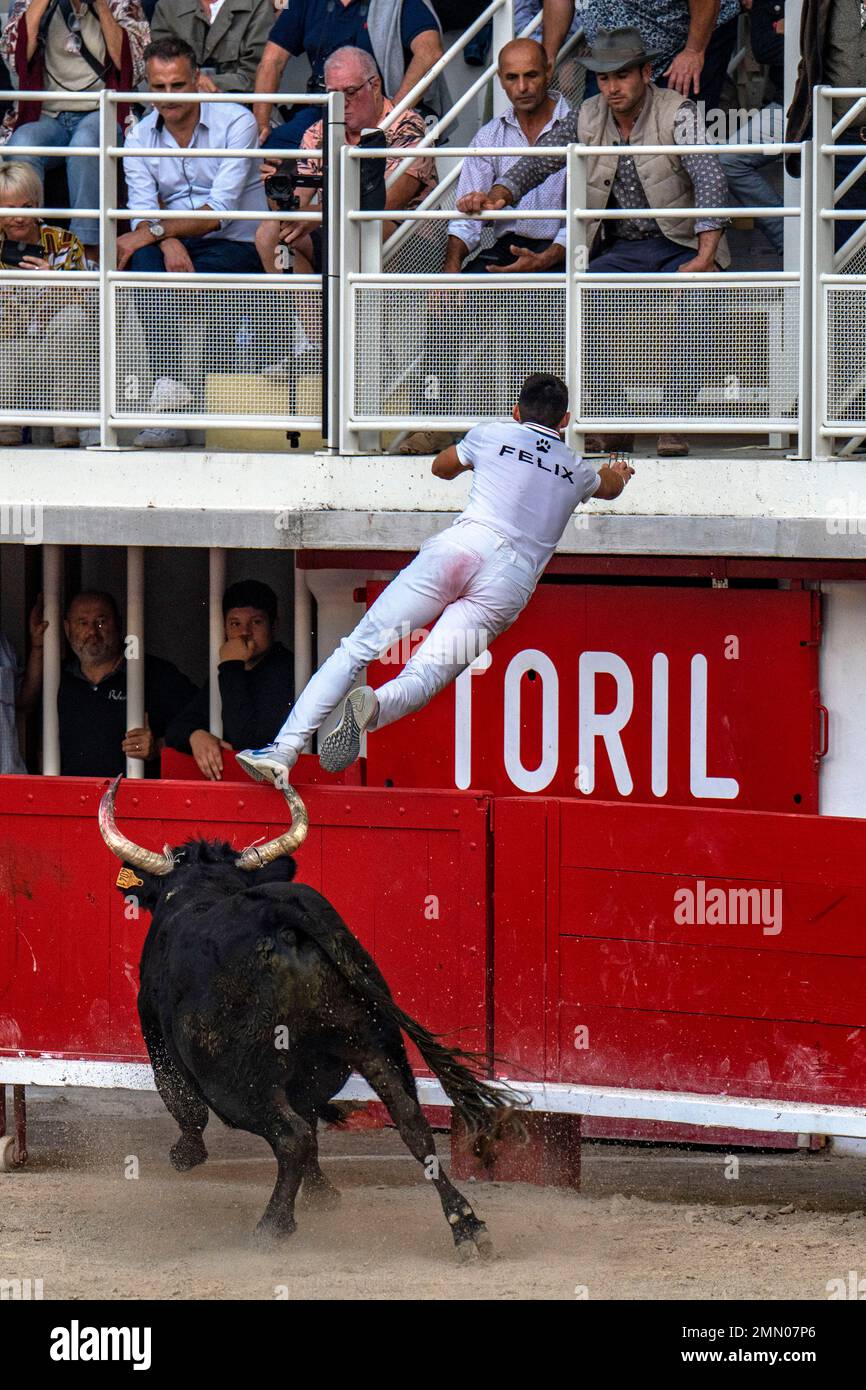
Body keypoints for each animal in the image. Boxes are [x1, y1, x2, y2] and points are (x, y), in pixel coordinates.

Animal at [99, 783, 525, 1262]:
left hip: (236, 1082)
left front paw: (185, 1155)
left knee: (292, 1136)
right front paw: (322, 1194)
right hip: (373, 1040)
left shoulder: (157, 1035)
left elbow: (181, 1100)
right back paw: (466, 1225)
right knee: (411, 1122)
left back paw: (272, 1227)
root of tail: (280, 915)